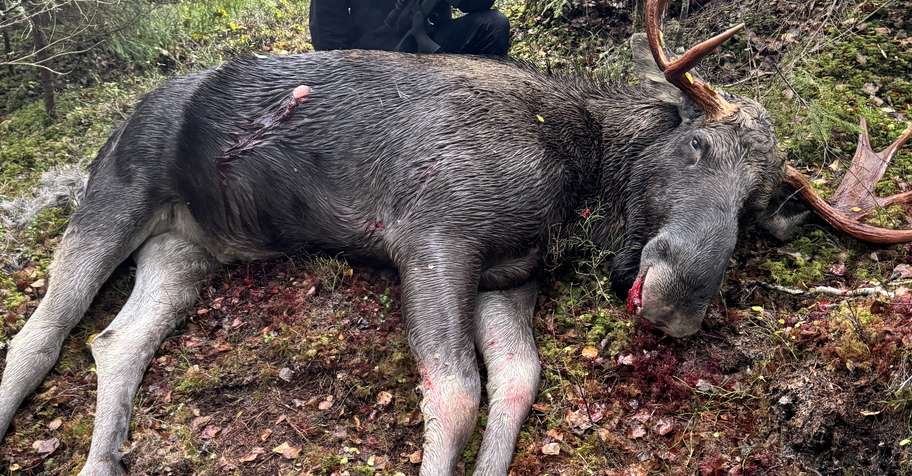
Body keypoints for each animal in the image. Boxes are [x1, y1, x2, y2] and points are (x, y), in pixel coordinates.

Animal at [1, 0, 910, 474]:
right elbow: (456, 391)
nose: (677, 299)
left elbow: (516, 383)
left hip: (190, 248)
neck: (576, 182)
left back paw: (103, 457)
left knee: (117, 341)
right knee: (41, 334)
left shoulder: (507, 276)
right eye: (697, 147)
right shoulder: (437, 233)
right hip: (117, 193)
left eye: (756, 212)